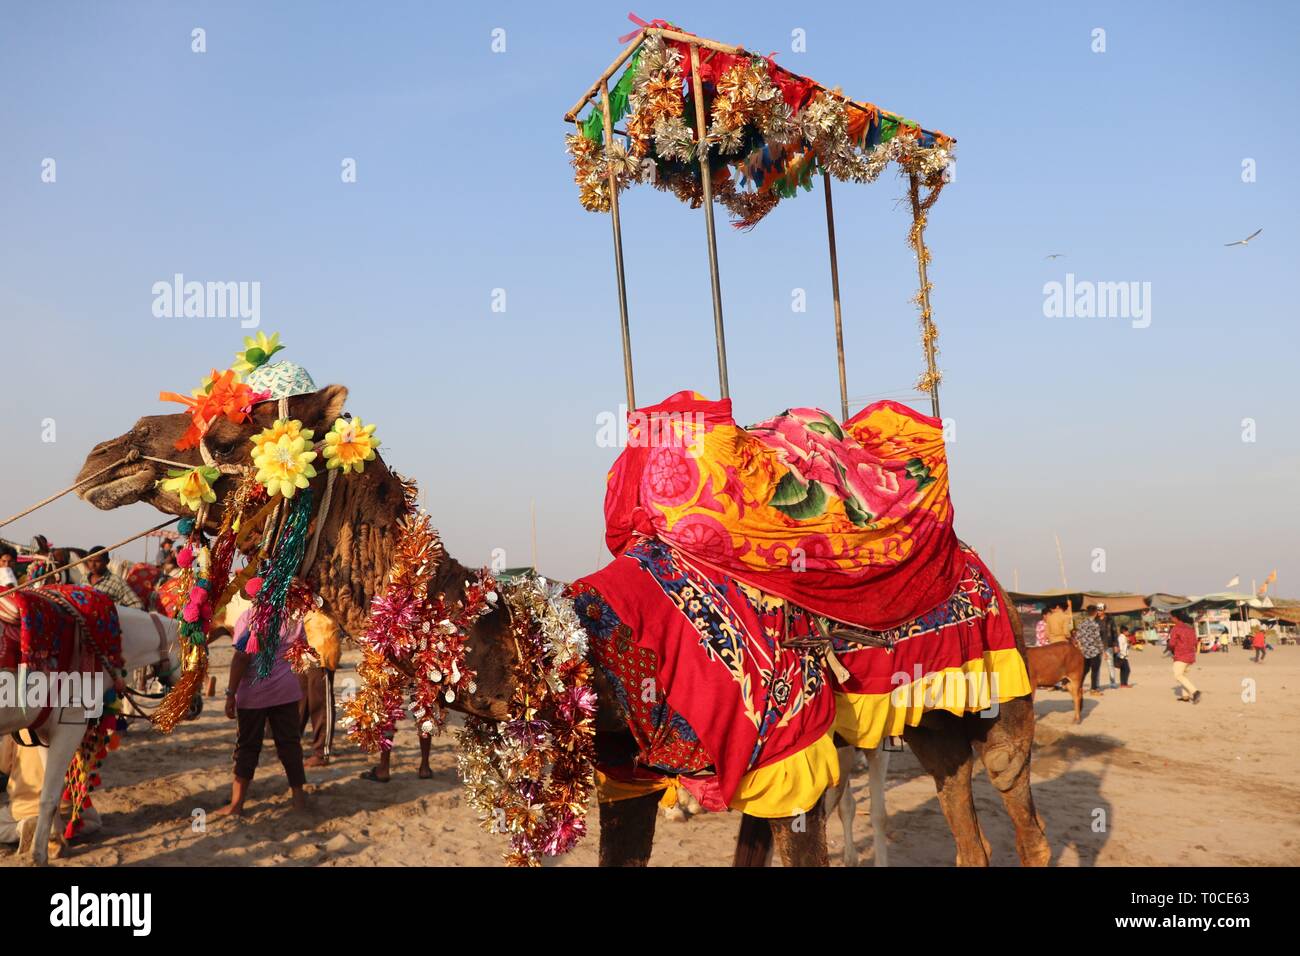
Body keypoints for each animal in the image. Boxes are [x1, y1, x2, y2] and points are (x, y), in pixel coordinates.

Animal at [0, 600, 179, 863]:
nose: (196, 704)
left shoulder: (44, 732)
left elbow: (51, 790)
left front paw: (54, 841)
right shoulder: (69, 727)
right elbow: (49, 796)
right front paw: (39, 854)